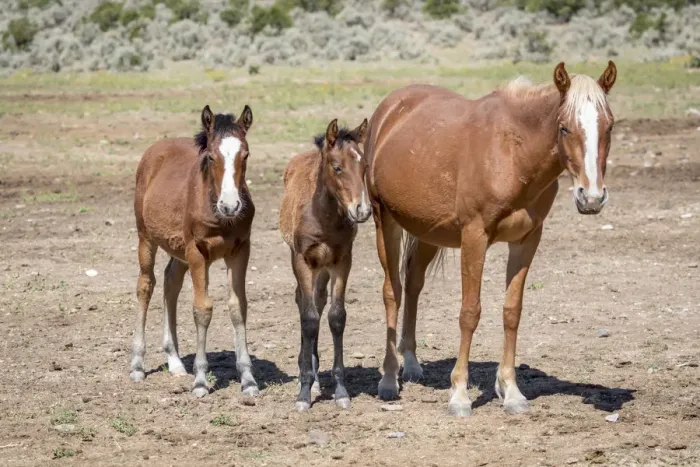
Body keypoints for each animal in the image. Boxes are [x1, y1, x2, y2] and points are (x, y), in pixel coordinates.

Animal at [130, 104, 260, 398]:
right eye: (211, 157)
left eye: (245, 154)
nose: (230, 206)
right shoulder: (198, 252)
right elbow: (202, 309)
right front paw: (200, 380)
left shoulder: (240, 251)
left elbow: (238, 307)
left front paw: (248, 379)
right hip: (147, 237)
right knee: (146, 285)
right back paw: (137, 365)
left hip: (178, 248)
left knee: (170, 282)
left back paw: (175, 361)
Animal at [279, 118, 371, 411]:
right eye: (337, 167)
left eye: (364, 167)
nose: (362, 210)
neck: (324, 216)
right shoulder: (303, 260)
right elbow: (308, 319)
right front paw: (304, 393)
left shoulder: (342, 260)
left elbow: (335, 317)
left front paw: (341, 390)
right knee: (303, 302)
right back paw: (307, 376)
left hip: (323, 268)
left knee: (318, 302)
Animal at [365, 61, 617, 416]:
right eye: (564, 128)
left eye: (609, 126)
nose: (591, 198)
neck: (512, 153)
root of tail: (389, 109)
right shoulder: (474, 237)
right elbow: (470, 313)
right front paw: (459, 395)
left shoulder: (527, 239)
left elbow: (512, 311)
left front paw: (511, 391)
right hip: (384, 221)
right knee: (393, 292)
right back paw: (389, 380)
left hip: (426, 230)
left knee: (413, 284)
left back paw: (412, 365)